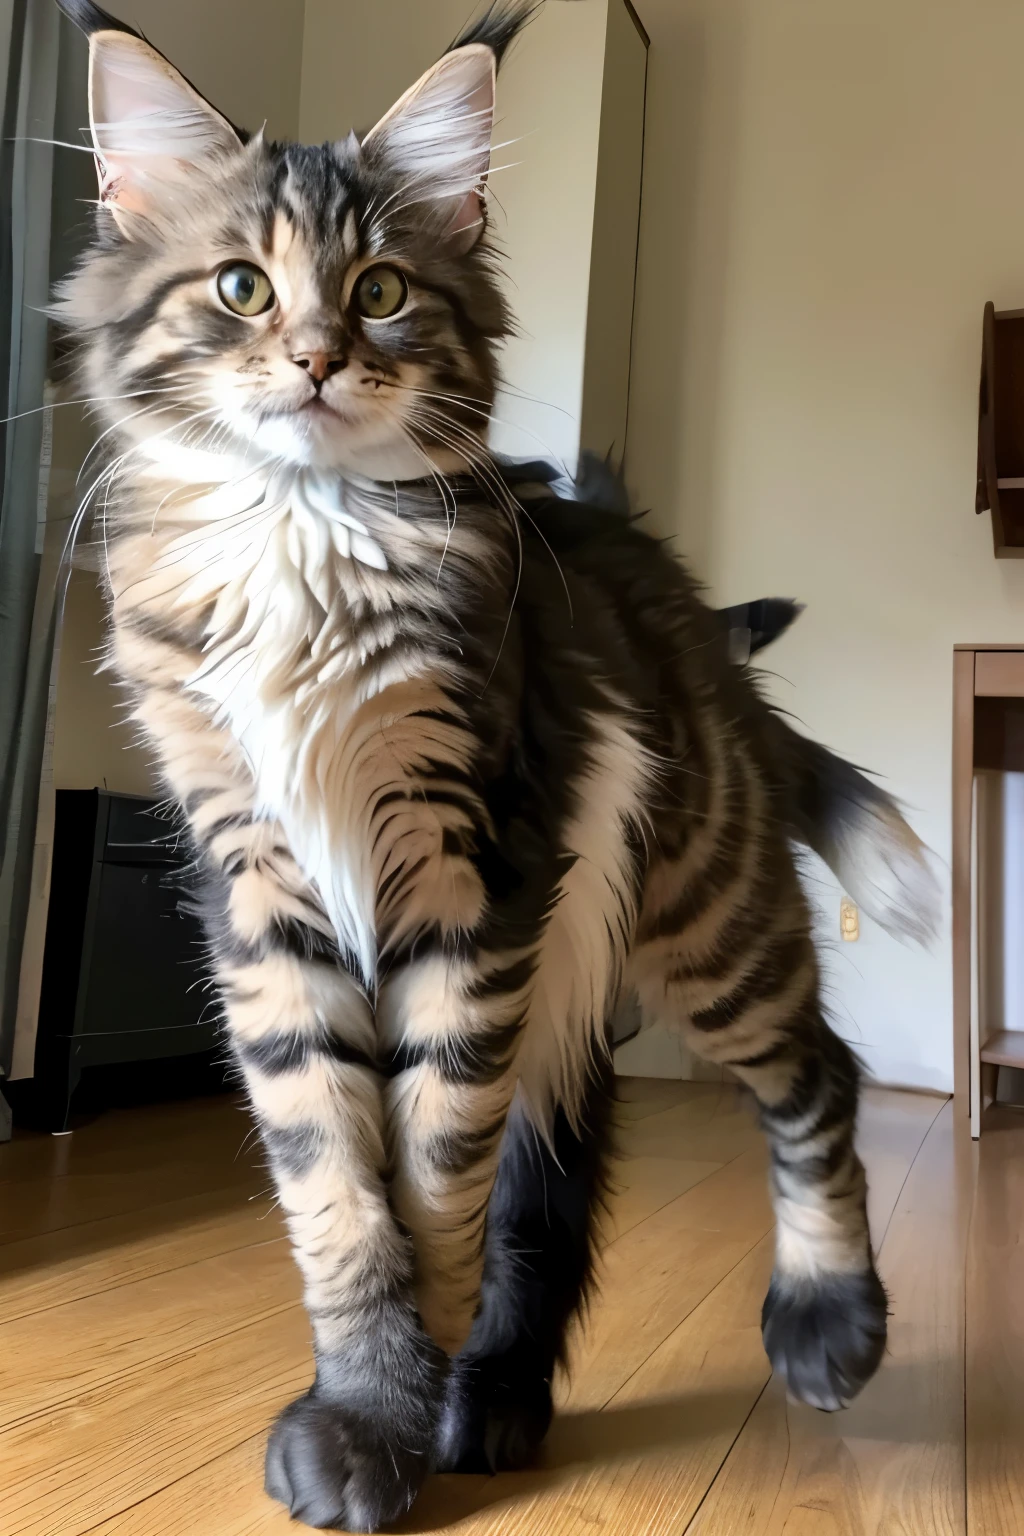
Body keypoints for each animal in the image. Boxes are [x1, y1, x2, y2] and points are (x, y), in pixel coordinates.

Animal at [54, 6, 939, 1529]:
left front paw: (391, 1420)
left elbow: (431, 1166)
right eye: (239, 288)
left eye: (382, 289)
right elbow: (338, 1189)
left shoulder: (473, 868)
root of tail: (681, 598)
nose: (316, 359)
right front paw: (376, 1408)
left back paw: (827, 1322)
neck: (301, 535)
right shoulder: (263, 890)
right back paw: (502, 1397)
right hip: (578, 973)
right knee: (557, 1191)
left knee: (816, 1072)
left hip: (696, 904)